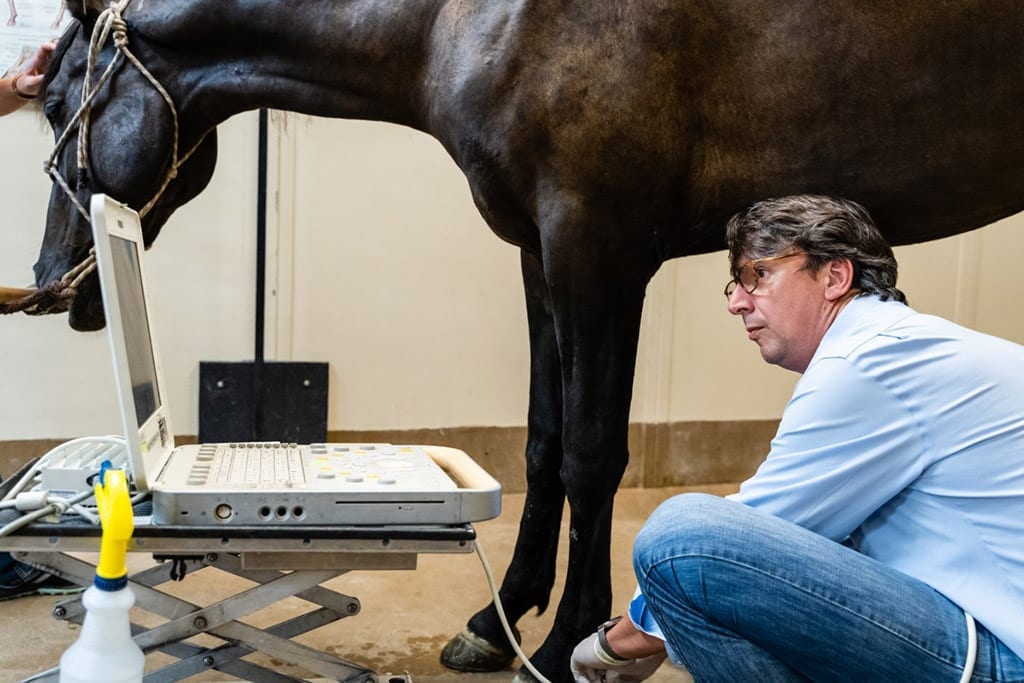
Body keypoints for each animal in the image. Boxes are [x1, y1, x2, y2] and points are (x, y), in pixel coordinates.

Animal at [24, 1, 1024, 683]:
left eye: (65, 102)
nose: (48, 280)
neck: (475, 19)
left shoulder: (598, 251)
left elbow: (591, 450)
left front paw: (570, 626)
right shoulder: (541, 257)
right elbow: (544, 442)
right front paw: (500, 612)